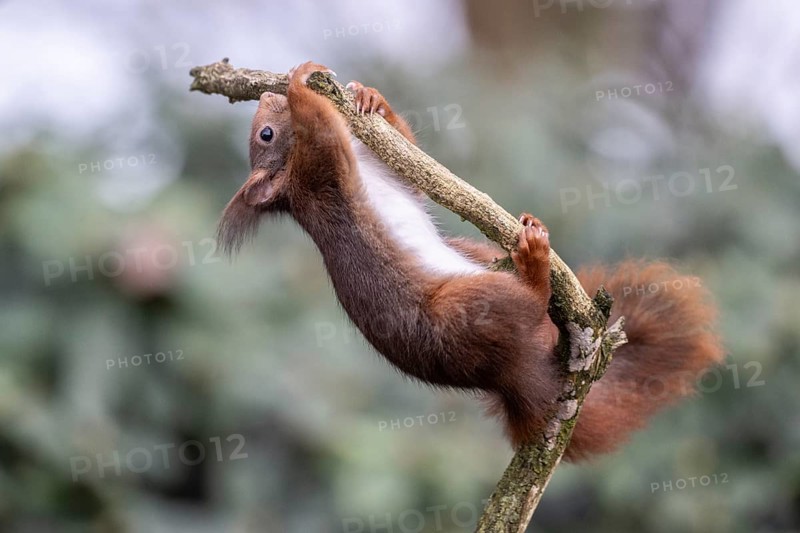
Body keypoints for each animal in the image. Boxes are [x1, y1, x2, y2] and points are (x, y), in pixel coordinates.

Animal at [218, 61, 725, 461]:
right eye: (265, 135)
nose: (267, 94)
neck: (293, 180)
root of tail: (508, 372)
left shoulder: (374, 168)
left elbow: (408, 163)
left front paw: (370, 98)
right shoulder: (320, 178)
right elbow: (323, 131)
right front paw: (301, 81)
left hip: (476, 254)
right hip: (469, 308)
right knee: (528, 302)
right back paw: (535, 266)